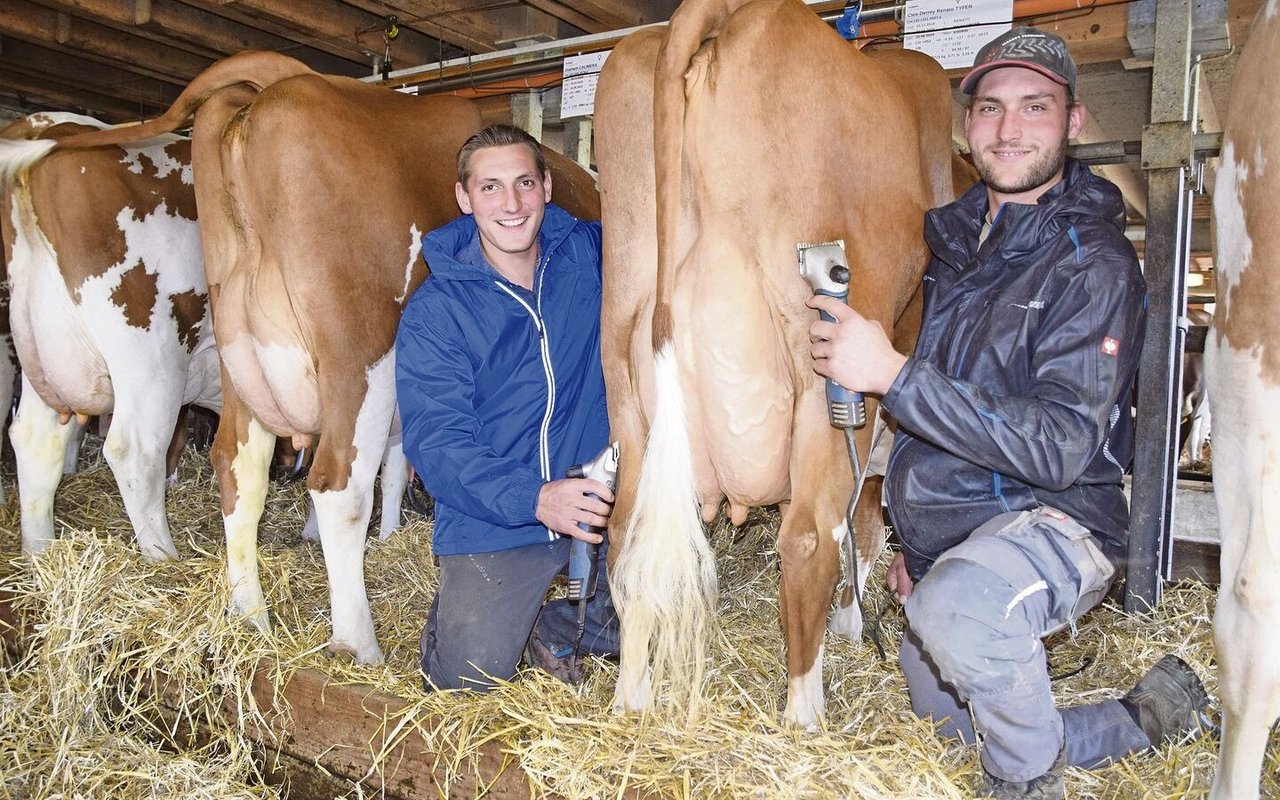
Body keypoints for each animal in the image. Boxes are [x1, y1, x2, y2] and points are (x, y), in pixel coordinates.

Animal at [0, 112, 221, 560]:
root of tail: (50, 126)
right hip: (153, 353)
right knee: (134, 450)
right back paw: (163, 559)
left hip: (43, 346)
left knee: (35, 440)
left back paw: (39, 554)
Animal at [52, 51, 601, 660]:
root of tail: (277, 92)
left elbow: (399, 461)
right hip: (355, 359)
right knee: (338, 484)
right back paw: (357, 643)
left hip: (240, 353)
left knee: (238, 469)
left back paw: (251, 618)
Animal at [593, 0, 957, 721]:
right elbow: (865, 527)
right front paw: (852, 625)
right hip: (822, 363)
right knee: (810, 535)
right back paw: (805, 716)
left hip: (622, 351)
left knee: (626, 537)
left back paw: (633, 700)